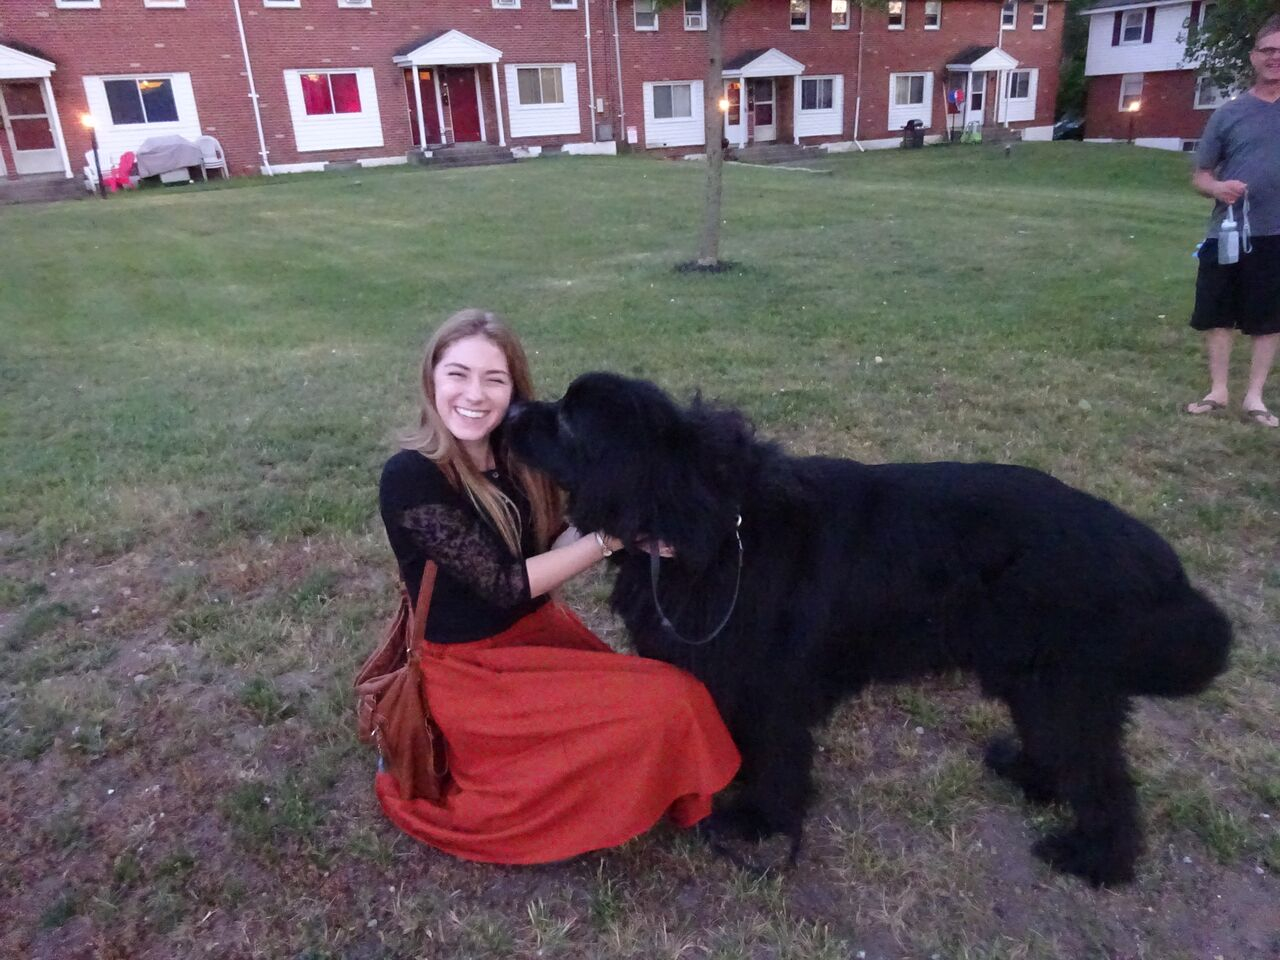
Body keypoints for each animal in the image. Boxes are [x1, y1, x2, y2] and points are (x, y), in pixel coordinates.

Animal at [505, 372, 1232, 886]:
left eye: (566, 419)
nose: (511, 412)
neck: (698, 515)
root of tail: (1149, 554)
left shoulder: (771, 685)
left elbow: (779, 758)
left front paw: (760, 819)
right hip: (1037, 678)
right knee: (1069, 752)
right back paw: (1031, 777)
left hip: (1062, 683)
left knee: (1104, 777)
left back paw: (1095, 858)